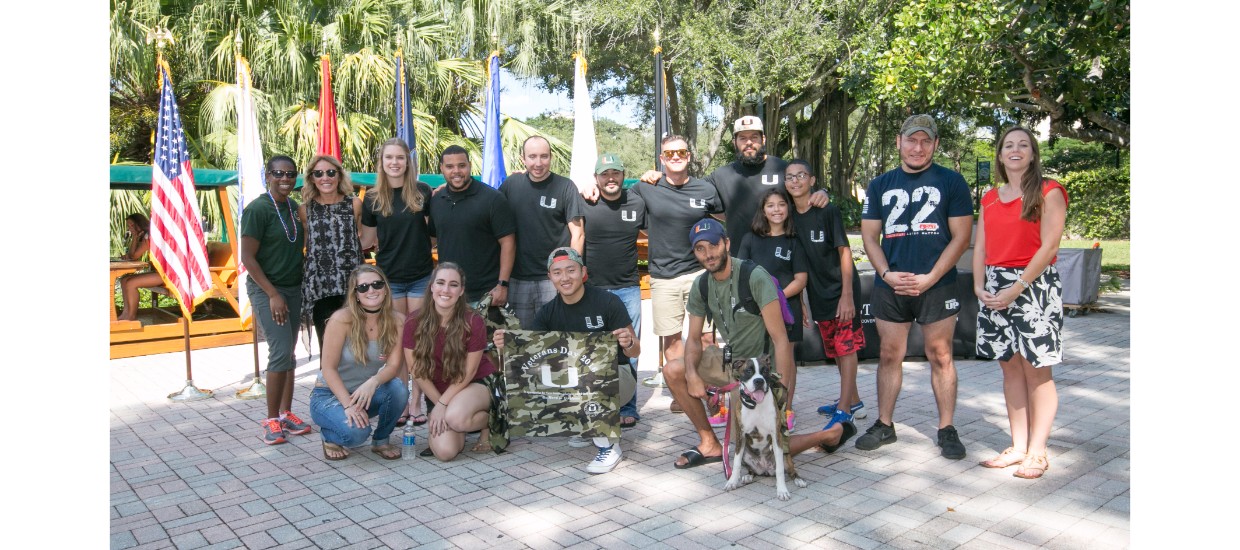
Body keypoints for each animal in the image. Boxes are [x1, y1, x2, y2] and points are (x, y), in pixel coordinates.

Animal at [719, 354, 803, 500]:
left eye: (765, 371)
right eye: (748, 371)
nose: (758, 381)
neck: (756, 404)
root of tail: (765, 470)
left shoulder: (776, 436)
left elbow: (780, 470)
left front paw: (782, 490)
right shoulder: (740, 436)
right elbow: (736, 463)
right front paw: (732, 482)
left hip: (785, 455)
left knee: (790, 470)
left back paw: (798, 479)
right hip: (746, 455)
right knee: (750, 469)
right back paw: (748, 476)